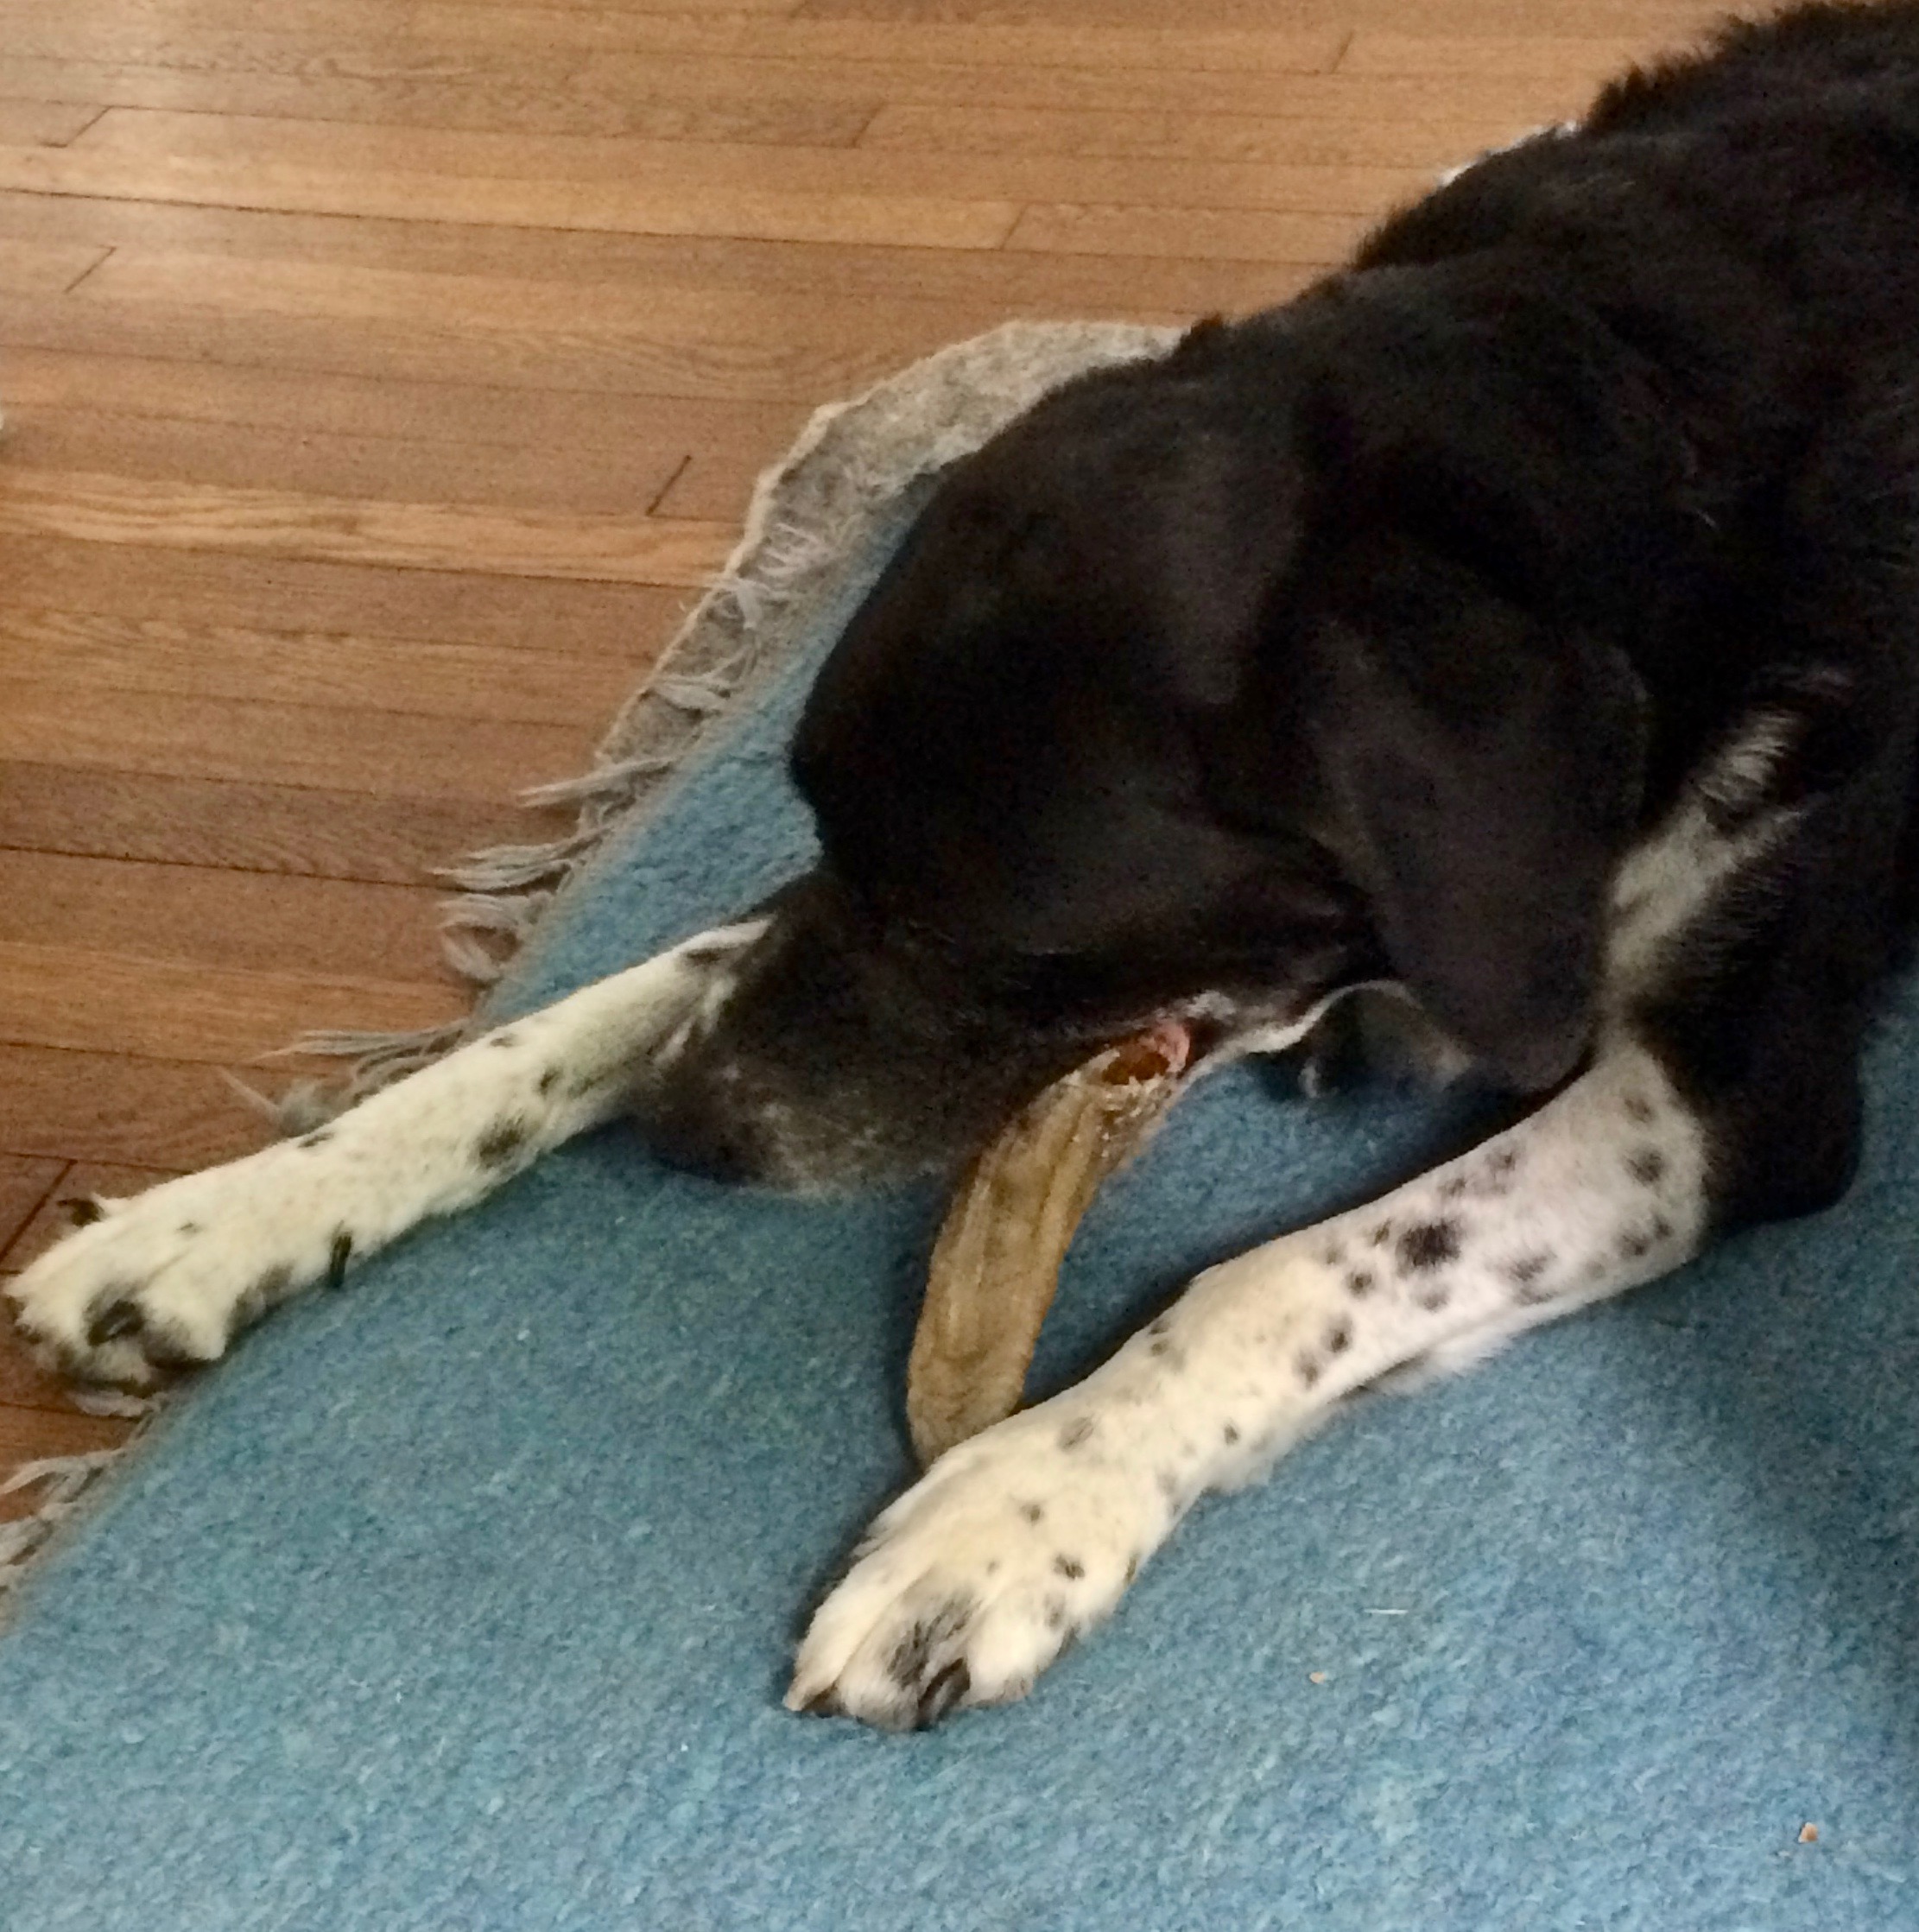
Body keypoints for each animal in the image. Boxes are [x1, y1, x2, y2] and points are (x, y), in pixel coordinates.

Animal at [14, 0, 1919, 1730]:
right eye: (821, 831)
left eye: (1004, 949)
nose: (682, 1134)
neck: (1604, 434)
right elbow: (583, 1009)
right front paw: (223, 1214)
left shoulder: (1726, 1105)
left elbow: (1282, 1273)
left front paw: (1016, 1506)